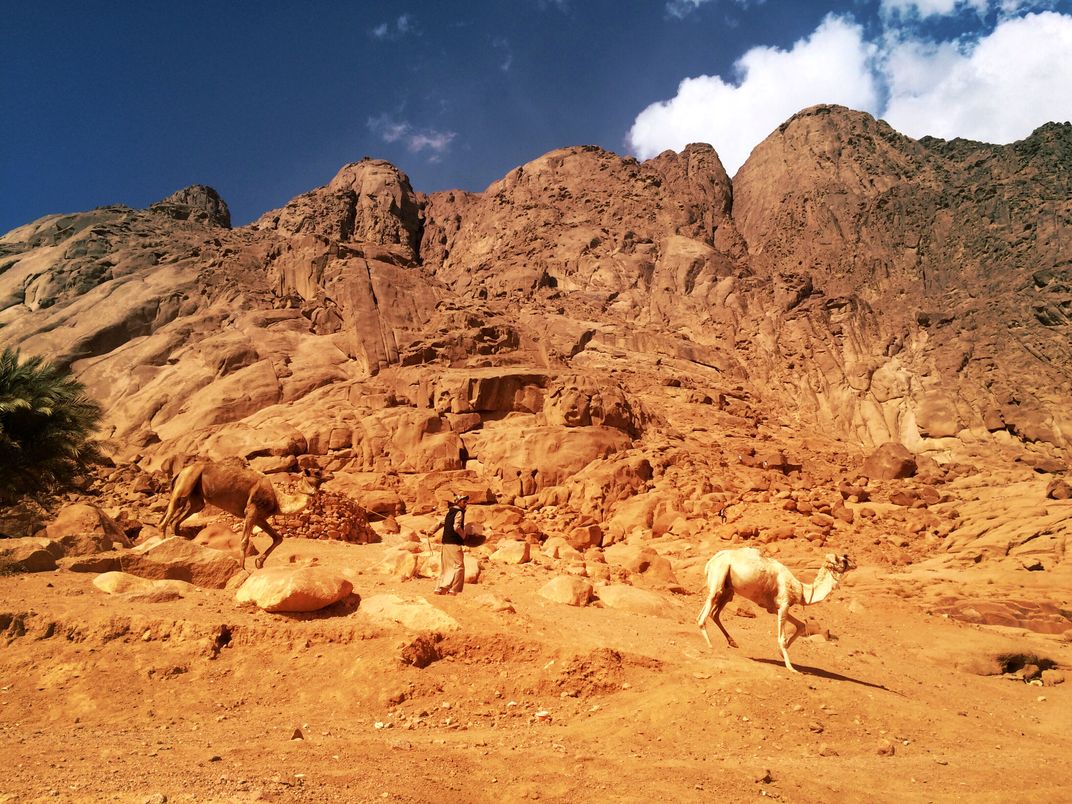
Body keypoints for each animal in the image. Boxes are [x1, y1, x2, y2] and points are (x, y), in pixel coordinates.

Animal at [156, 458, 328, 574]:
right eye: (317, 472)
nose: (330, 474)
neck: (278, 499)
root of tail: (180, 471)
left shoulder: (260, 517)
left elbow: (278, 538)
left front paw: (259, 563)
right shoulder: (251, 510)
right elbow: (245, 540)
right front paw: (243, 568)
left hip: (196, 496)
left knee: (180, 517)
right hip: (186, 482)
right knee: (169, 513)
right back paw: (163, 548)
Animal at [694, 548, 853, 673]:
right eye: (843, 560)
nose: (853, 563)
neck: (801, 590)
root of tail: (711, 561)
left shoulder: (774, 608)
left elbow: (801, 625)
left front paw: (781, 654)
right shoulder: (784, 604)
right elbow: (782, 638)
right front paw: (791, 668)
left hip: (728, 590)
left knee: (714, 613)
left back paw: (732, 642)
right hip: (719, 576)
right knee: (703, 615)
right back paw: (710, 646)